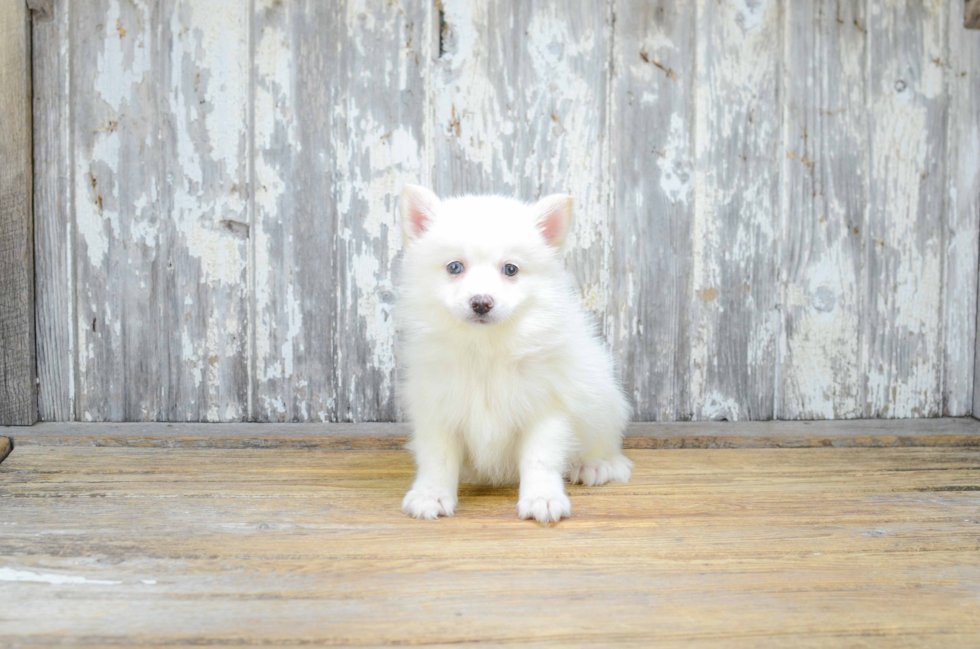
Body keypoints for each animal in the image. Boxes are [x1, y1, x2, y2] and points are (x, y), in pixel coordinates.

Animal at [394, 185, 632, 524]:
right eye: (455, 267)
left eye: (510, 269)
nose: (481, 302)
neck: (485, 347)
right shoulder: (438, 405)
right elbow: (437, 456)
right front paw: (431, 494)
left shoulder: (546, 408)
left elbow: (540, 458)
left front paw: (542, 498)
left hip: (604, 401)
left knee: (604, 441)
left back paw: (595, 464)